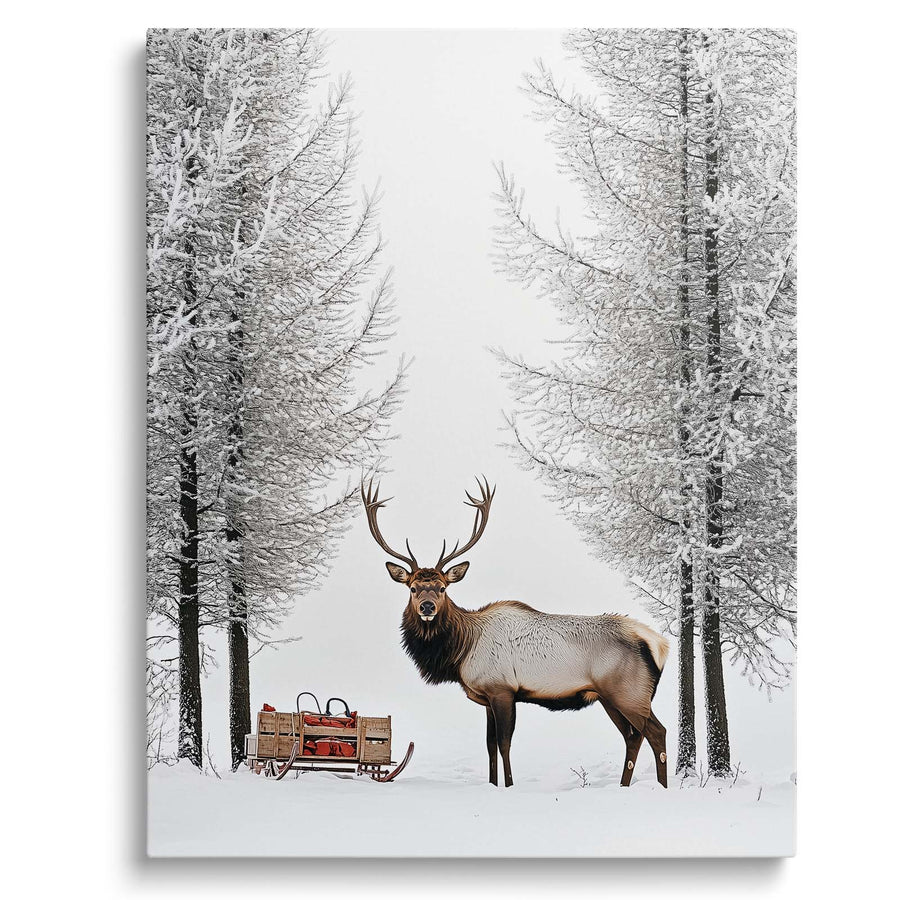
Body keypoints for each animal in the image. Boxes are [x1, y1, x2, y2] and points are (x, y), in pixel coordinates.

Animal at [361, 477, 670, 789]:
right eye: (412, 588)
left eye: (443, 588)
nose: (427, 607)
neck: (461, 652)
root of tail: (659, 644)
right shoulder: (486, 697)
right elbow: (489, 746)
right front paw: (492, 784)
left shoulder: (503, 689)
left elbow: (504, 743)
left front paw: (509, 785)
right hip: (611, 697)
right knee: (633, 737)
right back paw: (625, 785)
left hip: (629, 692)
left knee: (656, 733)